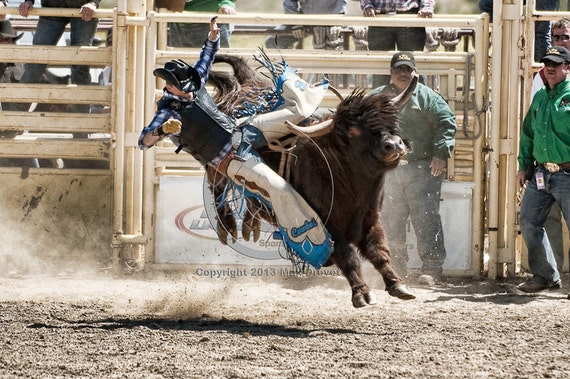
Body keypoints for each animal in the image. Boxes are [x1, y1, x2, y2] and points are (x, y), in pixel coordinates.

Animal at [206, 54, 414, 308]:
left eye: (391, 122)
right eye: (353, 131)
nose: (393, 145)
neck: (350, 183)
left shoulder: (370, 220)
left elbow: (379, 251)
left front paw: (397, 283)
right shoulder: (326, 225)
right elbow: (347, 256)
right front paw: (361, 293)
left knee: (252, 202)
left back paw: (249, 226)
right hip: (217, 163)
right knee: (217, 186)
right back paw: (227, 225)